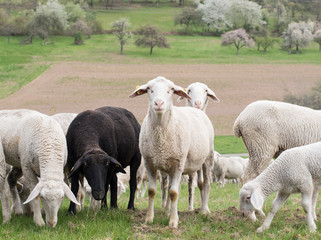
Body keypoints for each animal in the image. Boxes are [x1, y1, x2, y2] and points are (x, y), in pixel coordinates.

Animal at [129, 76, 214, 229]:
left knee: (206, 183)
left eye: (171, 90)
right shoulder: (149, 163)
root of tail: (197, 110)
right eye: (149, 89)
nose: (159, 103)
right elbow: (153, 191)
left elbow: (174, 193)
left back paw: (204, 210)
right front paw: (149, 218)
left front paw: (173, 222)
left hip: (207, 158)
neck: (160, 133)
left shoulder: (178, 164)